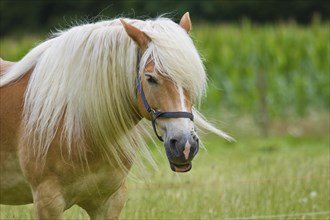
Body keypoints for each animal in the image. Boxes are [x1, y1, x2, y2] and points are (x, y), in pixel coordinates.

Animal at [0, 12, 232, 219]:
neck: (75, 123)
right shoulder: (48, 202)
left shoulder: (109, 202)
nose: (185, 145)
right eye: (150, 78)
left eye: (191, 78)